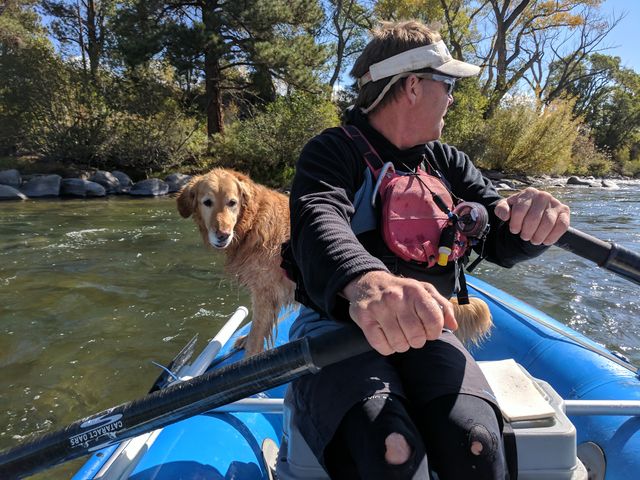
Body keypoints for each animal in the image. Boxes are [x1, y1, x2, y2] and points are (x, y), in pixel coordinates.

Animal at [176, 169, 294, 356]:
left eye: (232, 203)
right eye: (207, 202)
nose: (223, 235)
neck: (252, 224)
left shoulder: (265, 293)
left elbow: (256, 337)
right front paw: (245, 339)